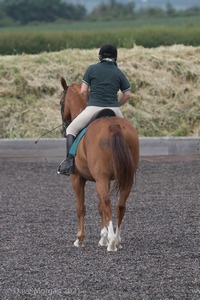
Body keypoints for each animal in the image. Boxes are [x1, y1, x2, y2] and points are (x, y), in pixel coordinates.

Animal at [59, 77, 139, 251]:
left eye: (61, 102)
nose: (63, 129)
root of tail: (114, 125)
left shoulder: (77, 179)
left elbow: (81, 208)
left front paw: (80, 239)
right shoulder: (104, 180)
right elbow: (100, 206)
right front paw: (103, 238)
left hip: (100, 178)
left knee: (108, 203)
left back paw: (112, 243)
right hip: (126, 178)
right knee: (120, 206)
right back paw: (117, 240)